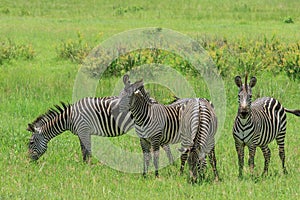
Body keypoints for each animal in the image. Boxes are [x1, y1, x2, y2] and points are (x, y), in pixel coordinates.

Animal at [28, 95, 173, 162]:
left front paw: (87, 166)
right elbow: (84, 149)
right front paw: (85, 164)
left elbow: (86, 149)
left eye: (31, 142)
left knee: (164, 145)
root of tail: (153, 99)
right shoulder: (82, 132)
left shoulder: (83, 130)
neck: (69, 118)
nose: (29, 161)